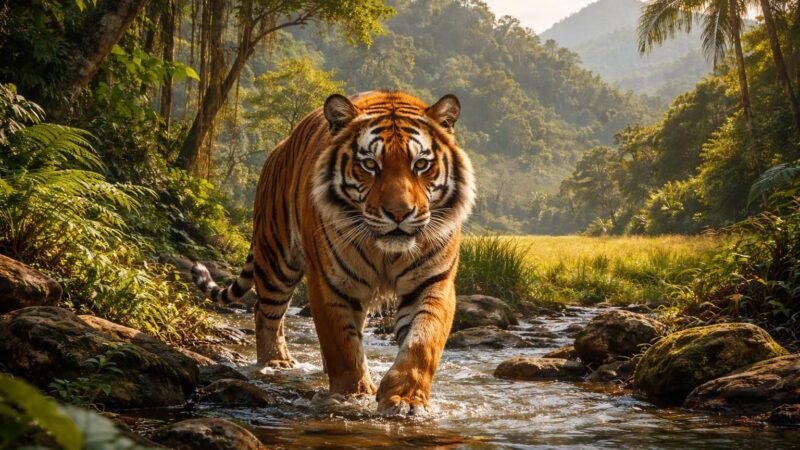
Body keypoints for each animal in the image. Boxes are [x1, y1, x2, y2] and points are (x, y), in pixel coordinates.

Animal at [191, 90, 475, 414]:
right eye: (370, 164)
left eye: (421, 164)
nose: (399, 213)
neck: (385, 251)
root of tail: (279, 147)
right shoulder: (329, 283)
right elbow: (342, 347)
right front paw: (353, 395)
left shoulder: (433, 282)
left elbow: (422, 343)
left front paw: (405, 399)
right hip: (277, 261)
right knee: (264, 313)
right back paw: (276, 362)